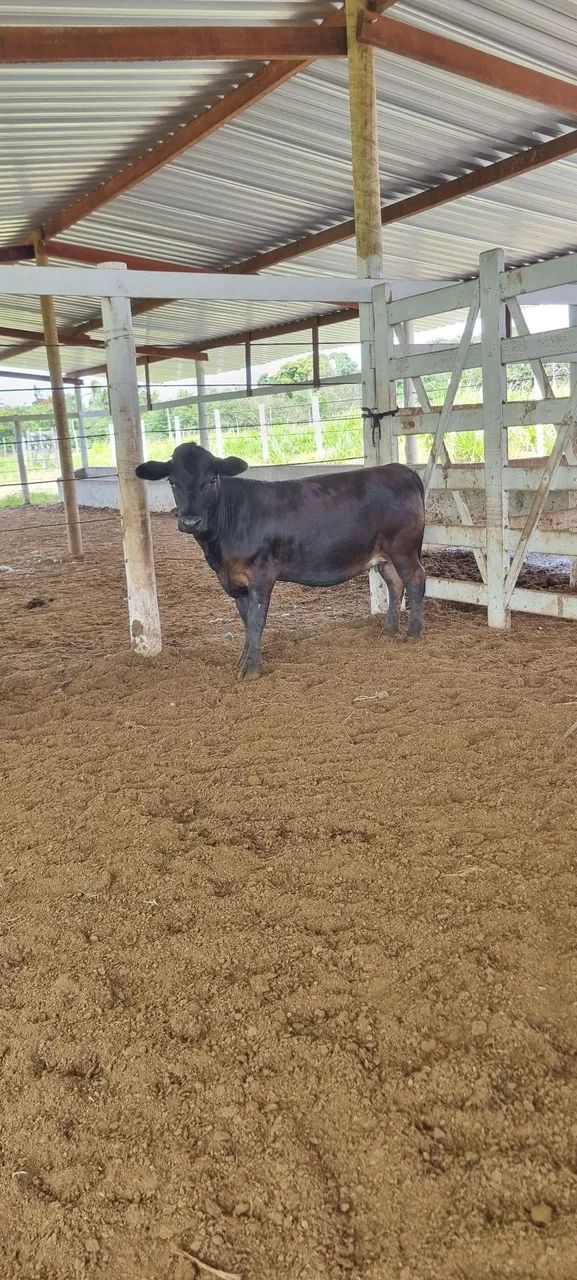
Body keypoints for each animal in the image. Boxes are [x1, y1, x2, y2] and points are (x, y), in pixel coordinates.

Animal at [135, 443, 426, 680]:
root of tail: (398, 468)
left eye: (212, 479)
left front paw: (252, 670)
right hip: (385, 558)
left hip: (404, 550)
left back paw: (413, 635)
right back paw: (387, 633)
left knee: (415, 580)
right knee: (395, 586)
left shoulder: (261, 575)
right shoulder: (236, 582)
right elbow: (246, 622)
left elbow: (257, 620)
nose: (190, 521)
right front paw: (244, 660)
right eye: (172, 482)